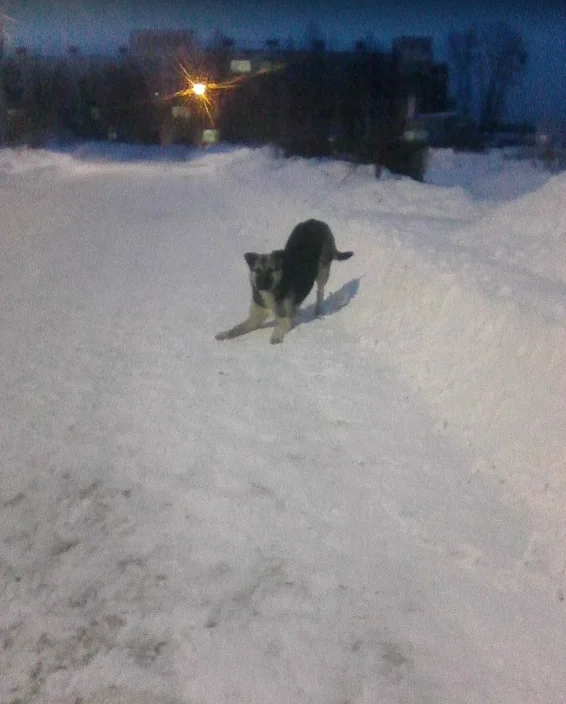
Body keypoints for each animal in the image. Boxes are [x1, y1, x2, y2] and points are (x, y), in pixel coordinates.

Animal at [216, 217, 356, 344]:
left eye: (271, 270)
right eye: (257, 270)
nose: (262, 285)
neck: (272, 291)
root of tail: (316, 221)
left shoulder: (285, 319)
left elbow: (280, 326)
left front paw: (276, 336)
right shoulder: (254, 319)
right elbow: (236, 328)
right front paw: (224, 334)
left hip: (323, 271)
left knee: (320, 291)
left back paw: (318, 310)